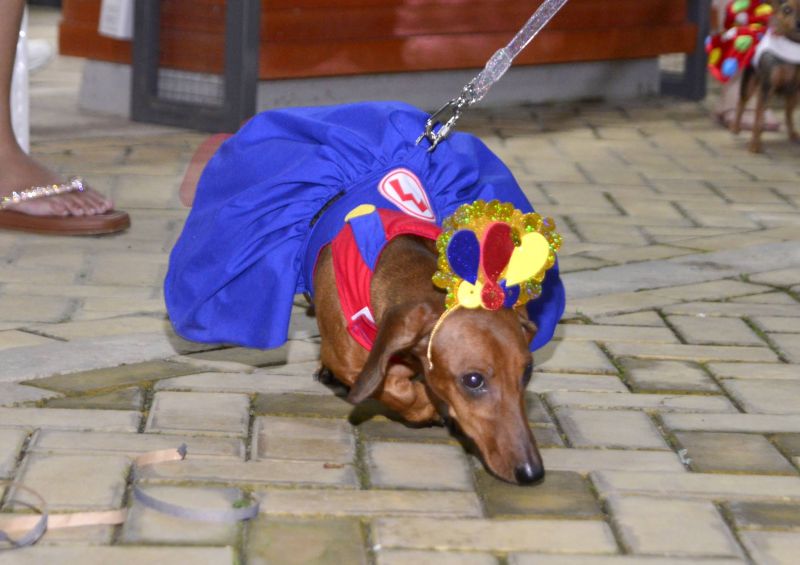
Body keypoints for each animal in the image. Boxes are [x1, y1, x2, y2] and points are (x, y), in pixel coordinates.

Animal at [732, 0, 800, 152]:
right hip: (750, 85)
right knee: (742, 103)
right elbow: (757, 118)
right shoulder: (767, 87)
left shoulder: (795, 89)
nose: (799, 23)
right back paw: (736, 128)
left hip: (792, 95)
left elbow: (787, 114)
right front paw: (754, 145)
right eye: (787, 9)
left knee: (787, 113)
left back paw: (792, 134)